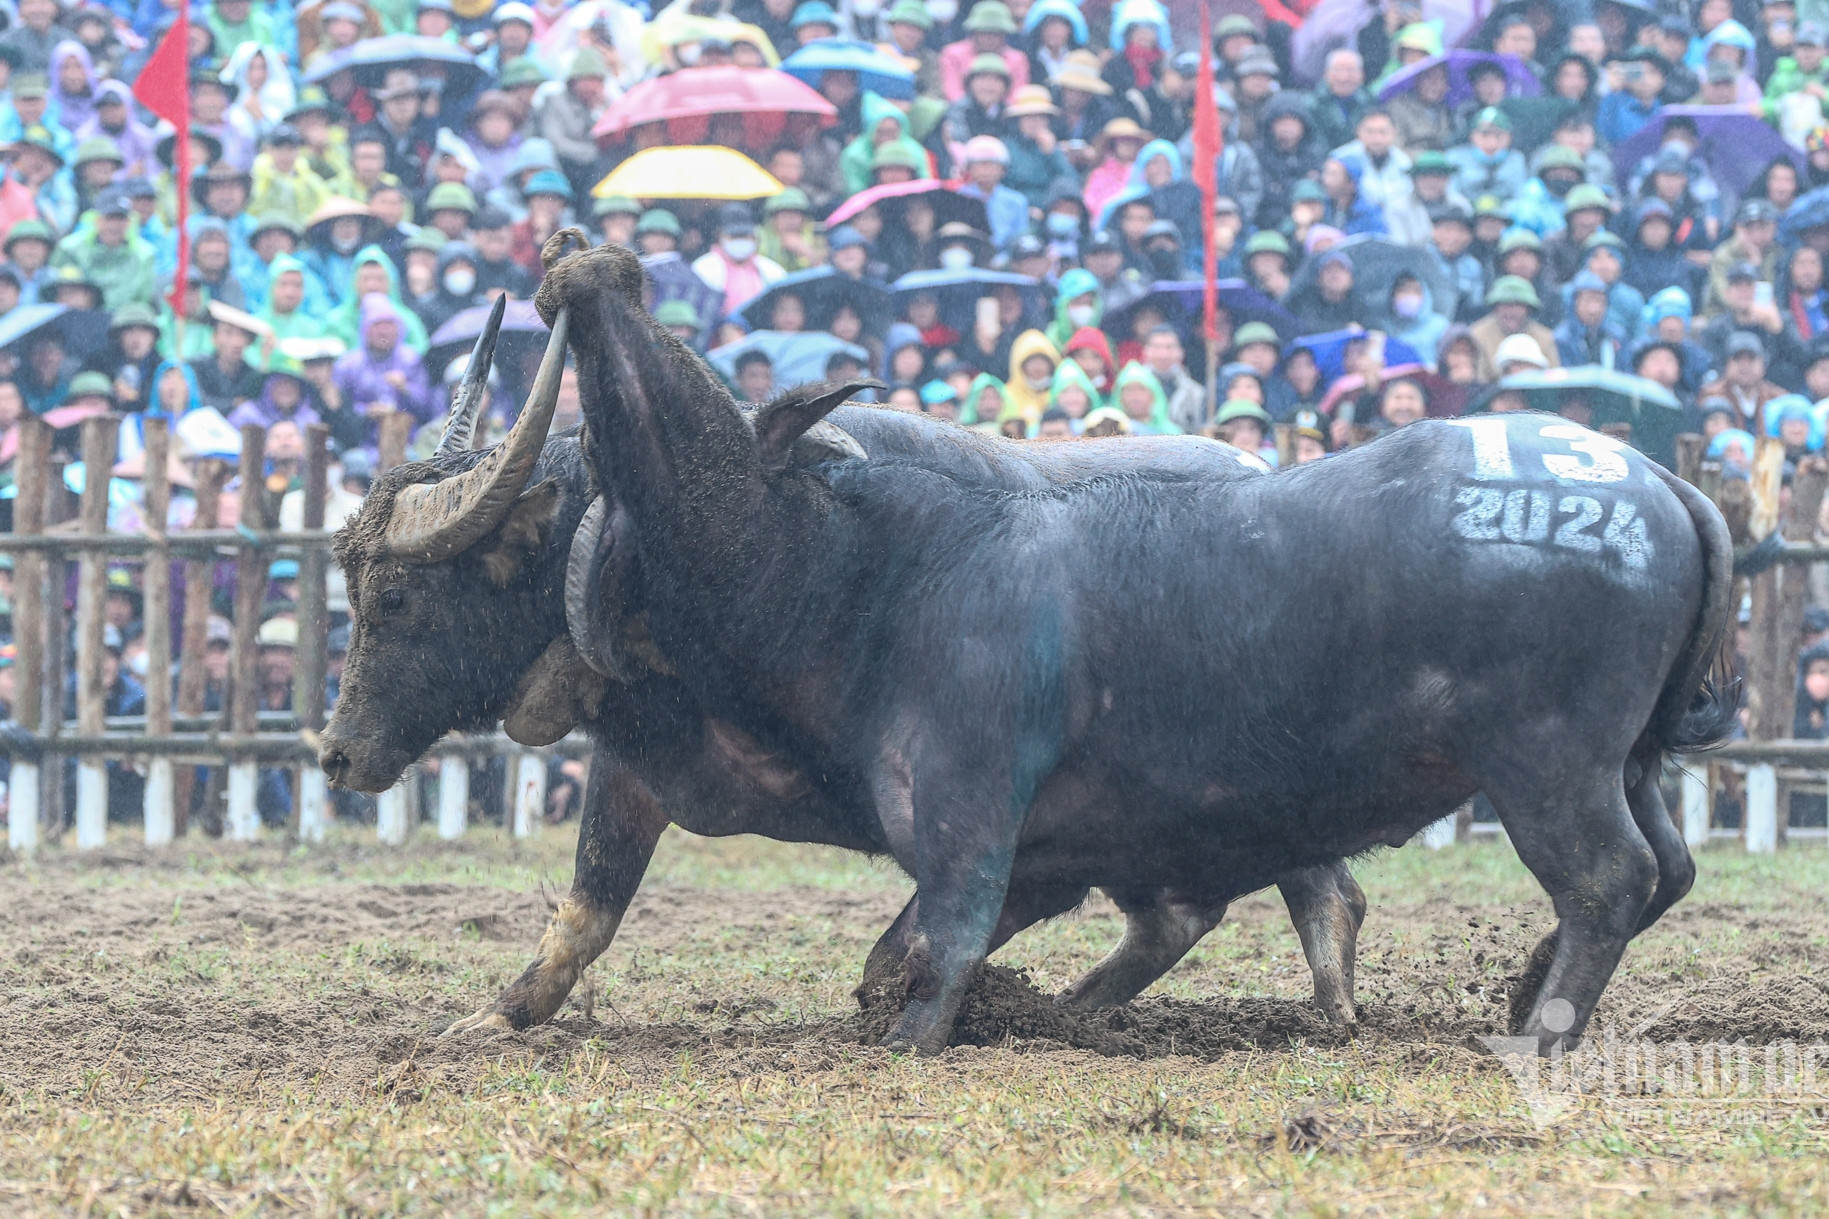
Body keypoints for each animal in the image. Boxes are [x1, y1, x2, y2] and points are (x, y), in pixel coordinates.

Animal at [318, 298, 1375, 1032]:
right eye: (353, 590)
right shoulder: (634, 765)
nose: (335, 755)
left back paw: (1326, 1010)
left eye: (397, 597)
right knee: (1194, 912)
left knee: (1314, 888)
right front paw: (496, 1014)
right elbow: (586, 910)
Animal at [537, 239, 1726, 1054]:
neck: (895, 568)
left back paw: (1540, 1027)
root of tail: (1652, 480)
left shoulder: (970, 812)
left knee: (1608, 878)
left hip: (1548, 762)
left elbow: (943, 938)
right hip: (1630, 761)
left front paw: (915, 1037)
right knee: (1665, 867)